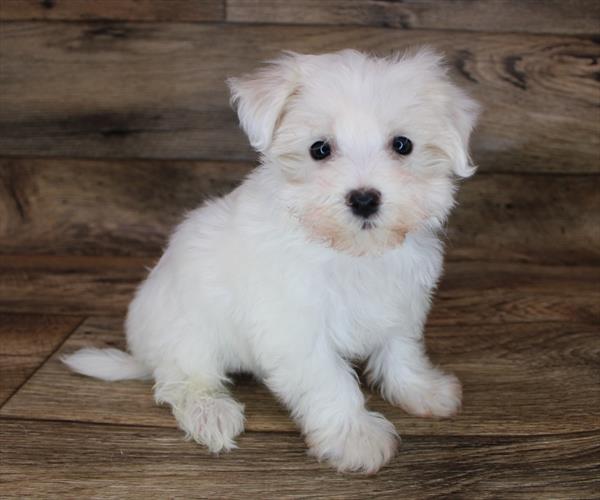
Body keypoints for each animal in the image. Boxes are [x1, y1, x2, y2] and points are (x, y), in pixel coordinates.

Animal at [64, 48, 478, 474]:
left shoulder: (399, 300)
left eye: (402, 145)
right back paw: (209, 412)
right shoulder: (295, 328)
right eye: (319, 149)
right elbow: (330, 381)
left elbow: (401, 350)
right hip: (187, 332)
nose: (364, 199)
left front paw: (421, 389)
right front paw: (354, 437)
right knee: (181, 377)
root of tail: (143, 350)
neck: (350, 251)